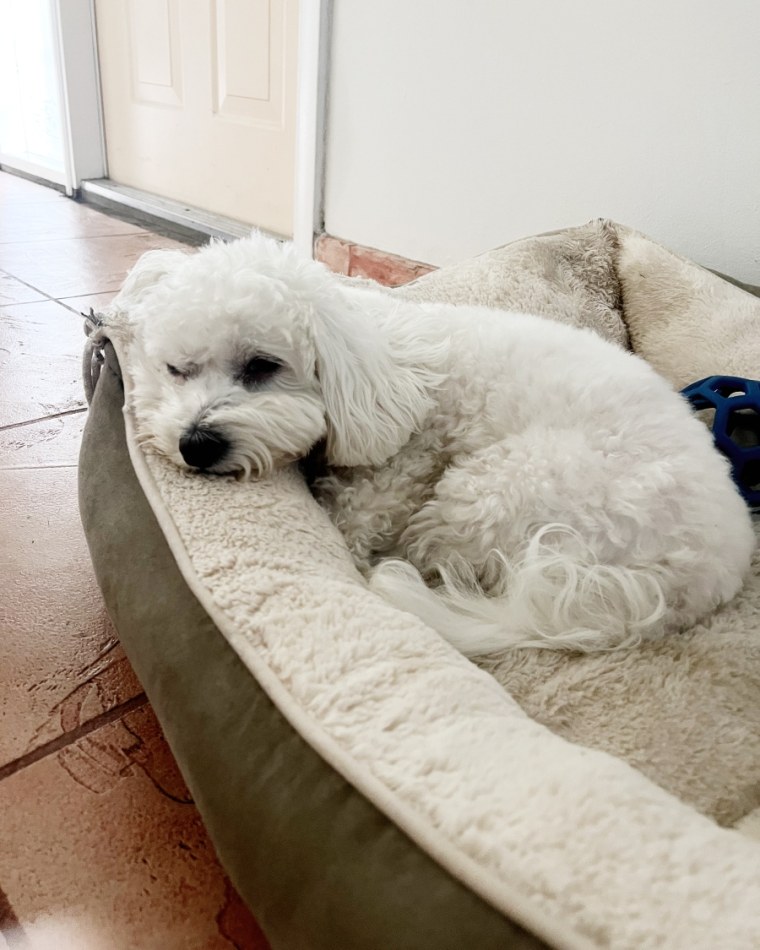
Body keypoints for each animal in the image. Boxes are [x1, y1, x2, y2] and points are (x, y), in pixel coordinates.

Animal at [116, 234, 756, 660]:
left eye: (262, 367)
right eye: (177, 369)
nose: (196, 445)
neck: (377, 357)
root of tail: (700, 576)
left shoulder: (389, 481)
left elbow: (354, 521)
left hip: (493, 490)